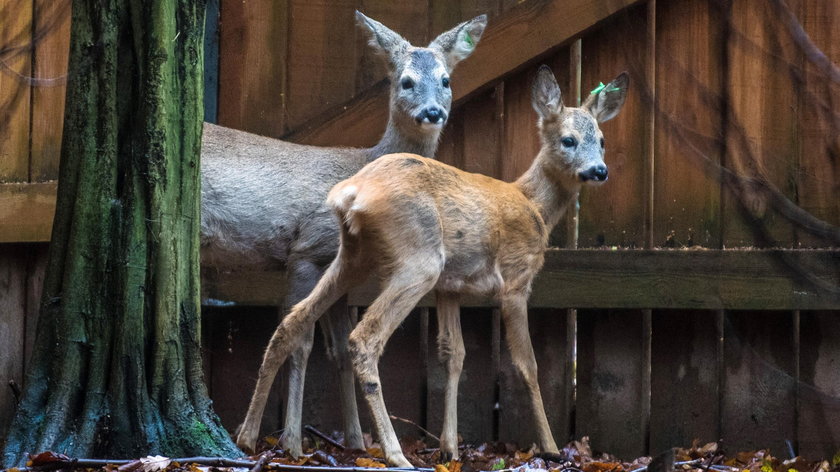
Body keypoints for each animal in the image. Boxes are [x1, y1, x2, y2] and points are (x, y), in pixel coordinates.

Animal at [202, 10, 486, 454]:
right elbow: (301, 342)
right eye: (405, 81)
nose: (432, 112)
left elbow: (336, 349)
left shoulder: (336, 260)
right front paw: (291, 442)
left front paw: (355, 440)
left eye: (446, 79)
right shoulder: (306, 248)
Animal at [240, 64, 628, 466]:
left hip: (353, 256)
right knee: (364, 338)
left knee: (292, 321)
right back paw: (395, 453)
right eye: (568, 140)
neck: (534, 206)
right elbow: (526, 364)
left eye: (601, 140)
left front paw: (449, 447)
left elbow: (453, 354)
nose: (599, 171)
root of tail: (351, 192)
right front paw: (551, 447)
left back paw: (249, 437)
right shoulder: (515, 280)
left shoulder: (450, 287)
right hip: (418, 259)